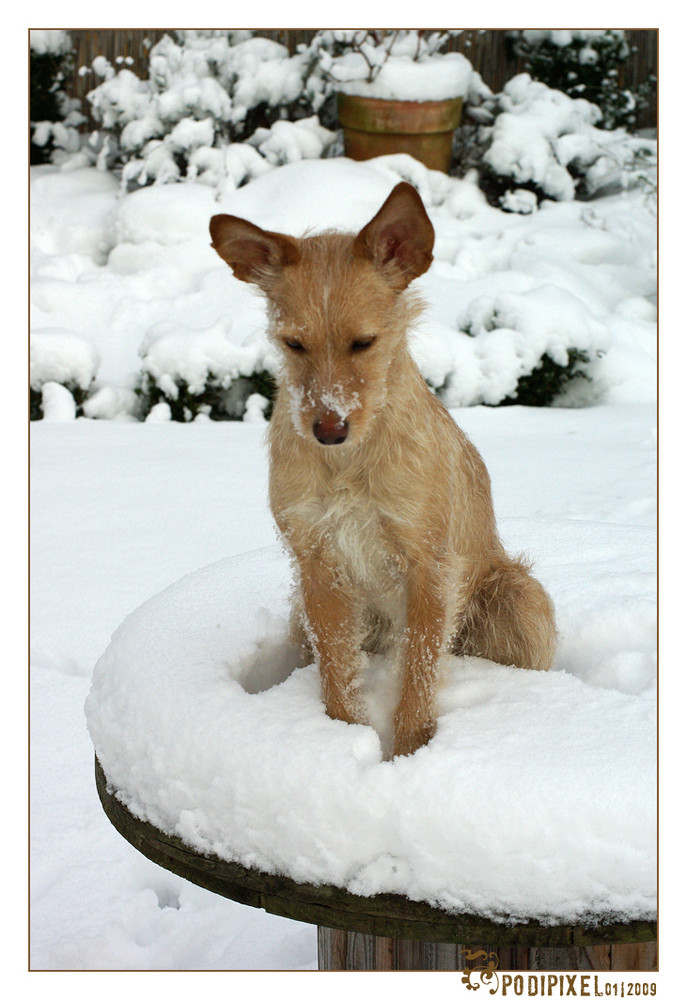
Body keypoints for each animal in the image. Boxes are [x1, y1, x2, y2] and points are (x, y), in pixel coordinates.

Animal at [211, 182, 560, 756]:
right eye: (293, 343)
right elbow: (337, 670)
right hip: (300, 615)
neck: (348, 463)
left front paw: (411, 753)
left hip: (517, 596)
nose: (329, 429)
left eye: (365, 342)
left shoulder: (429, 567)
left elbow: (419, 671)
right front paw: (341, 737)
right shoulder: (318, 566)